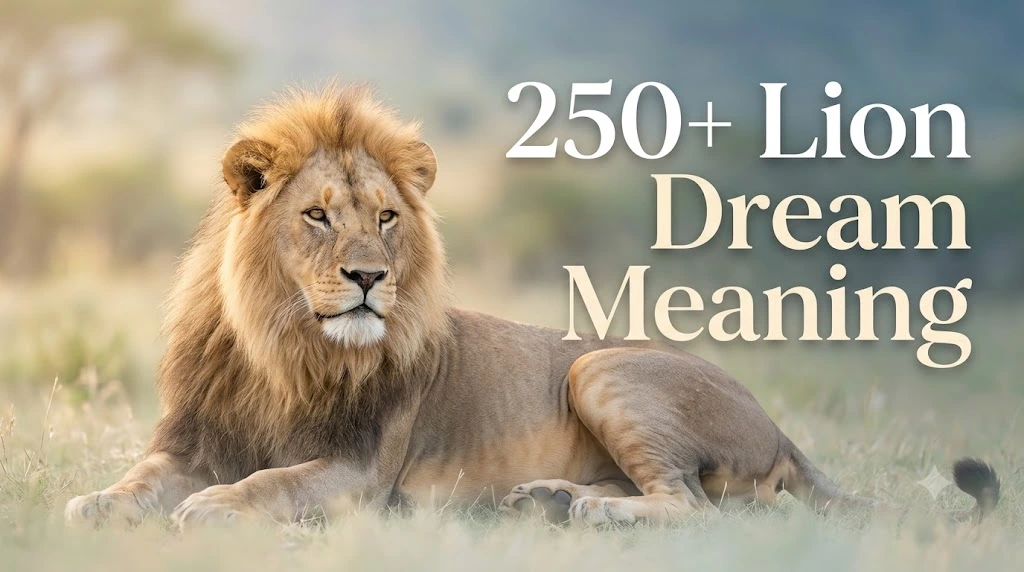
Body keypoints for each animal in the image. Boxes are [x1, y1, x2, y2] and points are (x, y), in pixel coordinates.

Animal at [64, 84, 1000, 529]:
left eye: (388, 217)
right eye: (318, 216)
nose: (368, 277)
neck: (286, 348)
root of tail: (778, 425)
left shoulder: (359, 471)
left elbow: (274, 480)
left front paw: (215, 508)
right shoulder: (193, 438)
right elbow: (139, 479)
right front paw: (94, 505)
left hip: (602, 365)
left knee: (693, 508)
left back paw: (589, 510)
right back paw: (548, 499)